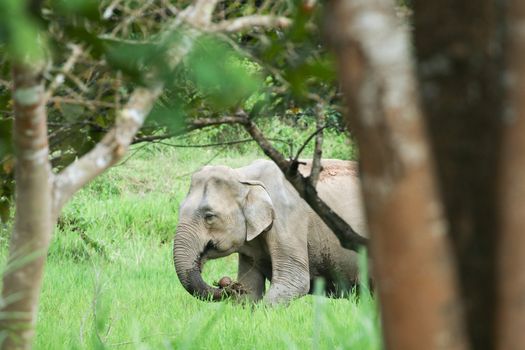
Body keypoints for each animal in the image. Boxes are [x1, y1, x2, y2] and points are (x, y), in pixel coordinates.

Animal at [174, 157, 366, 304]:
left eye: (209, 216)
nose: (228, 284)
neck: (245, 176)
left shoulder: (288, 219)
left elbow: (295, 281)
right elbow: (251, 288)